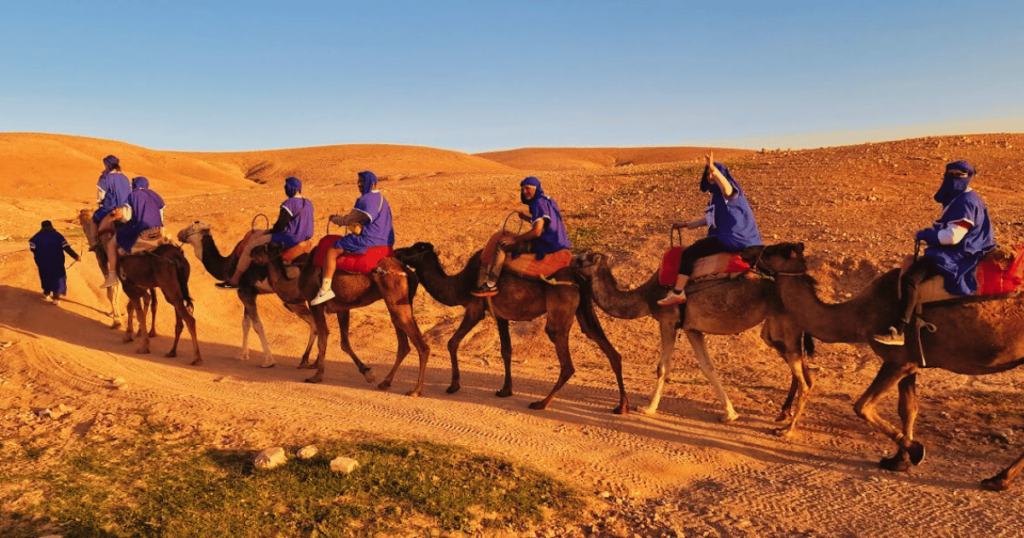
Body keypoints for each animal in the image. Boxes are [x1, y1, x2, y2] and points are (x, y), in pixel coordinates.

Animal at [178, 220, 317, 366]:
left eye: (191, 227)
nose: (179, 234)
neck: (227, 265)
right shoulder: (249, 292)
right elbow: (246, 324)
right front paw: (242, 355)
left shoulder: (245, 292)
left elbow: (257, 325)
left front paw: (268, 360)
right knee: (315, 323)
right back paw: (306, 360)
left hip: (294, 297)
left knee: (313, 322)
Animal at [253, 240, 430, 391]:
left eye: (264, 247)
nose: (252, 251)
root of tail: (407, 271)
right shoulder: (342, 307)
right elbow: (344, 343)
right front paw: (367, 372)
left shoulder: (314, 303)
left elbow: (323, 338)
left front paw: (316, 376)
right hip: (396, 302)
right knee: (403, 342)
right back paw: (385, 382)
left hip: (395, 296)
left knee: (421, 345)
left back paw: (416, 390)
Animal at [393, 240, 626, 414]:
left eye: (413, 249)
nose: (396, 251)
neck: (459, 284)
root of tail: (578, 277)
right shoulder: (501, 316)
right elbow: (506, 350)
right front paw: (505, 390)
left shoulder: (475, 309)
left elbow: (452, 342)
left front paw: (453, 386)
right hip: (584, 309)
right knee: (607, 347)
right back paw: (621, 407)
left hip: (560, 307)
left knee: (565, 358)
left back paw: (541, 403)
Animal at [573, 244, 811, 434]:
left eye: (582, 258)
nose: (570, 259)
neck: (646, 296)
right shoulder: (691, 329)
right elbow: (707, 367)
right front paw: (730, 414)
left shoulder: (668, 320)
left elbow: (662, 367)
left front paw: (648, 408)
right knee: (798, 362)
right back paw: (784, 413)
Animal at [761, 242, 1024, 489]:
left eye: (773, 251)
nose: (753, 254)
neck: (860, 314)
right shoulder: (910, 362)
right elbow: (908, 409)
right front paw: (899, 461)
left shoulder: (896, 361)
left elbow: (862, 406)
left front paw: (916, 451)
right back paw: (1000, 478)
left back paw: (999, 479)